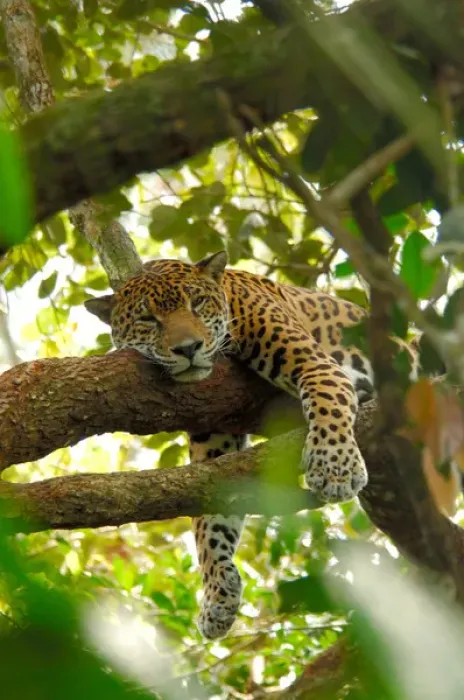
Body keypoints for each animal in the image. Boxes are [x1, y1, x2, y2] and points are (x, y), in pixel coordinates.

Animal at [84, 250, 430, 640]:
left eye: (196, 303)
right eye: (147, 319)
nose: (188, 349)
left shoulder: (319, 366)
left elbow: (327, 405)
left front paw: (335, 469)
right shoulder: (214, 436)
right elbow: (208, 522)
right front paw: (217, 593)